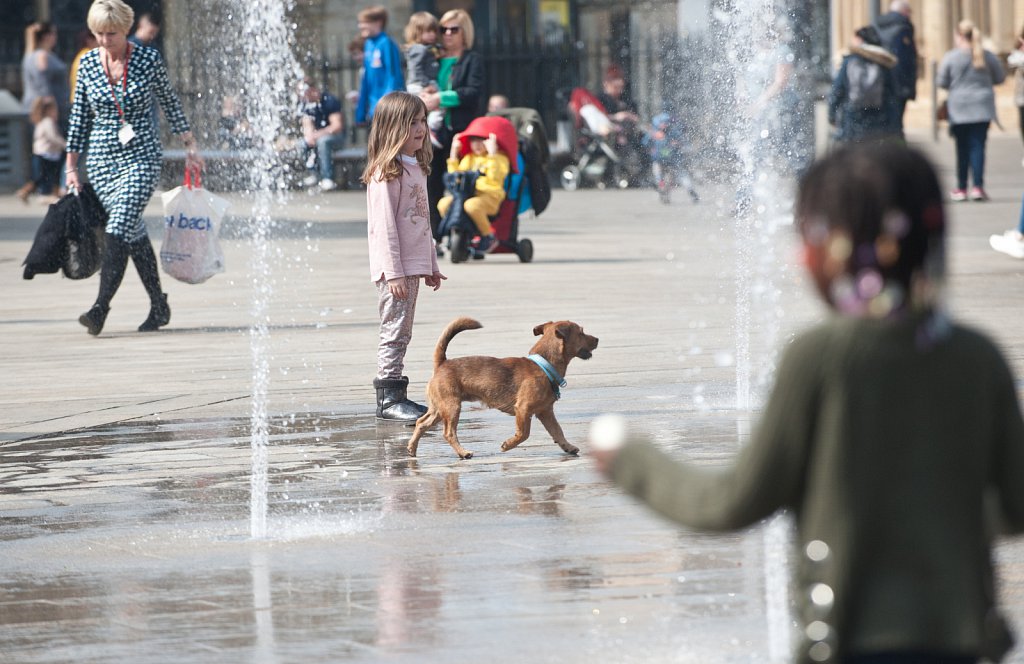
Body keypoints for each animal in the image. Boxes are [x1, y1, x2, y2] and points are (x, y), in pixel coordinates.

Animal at [405, 315, 598, 457]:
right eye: (582, 332)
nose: (597, 338)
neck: (544, 365)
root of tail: (442, 363)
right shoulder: (523, 410)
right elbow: (524, 433)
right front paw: (508, 445)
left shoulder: (546, 412)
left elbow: (558, 431)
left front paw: (568, 446)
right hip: (452, 407)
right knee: (448, 432)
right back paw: (463, 452)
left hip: (439, 409)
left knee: (421, 423)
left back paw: (412, 449)